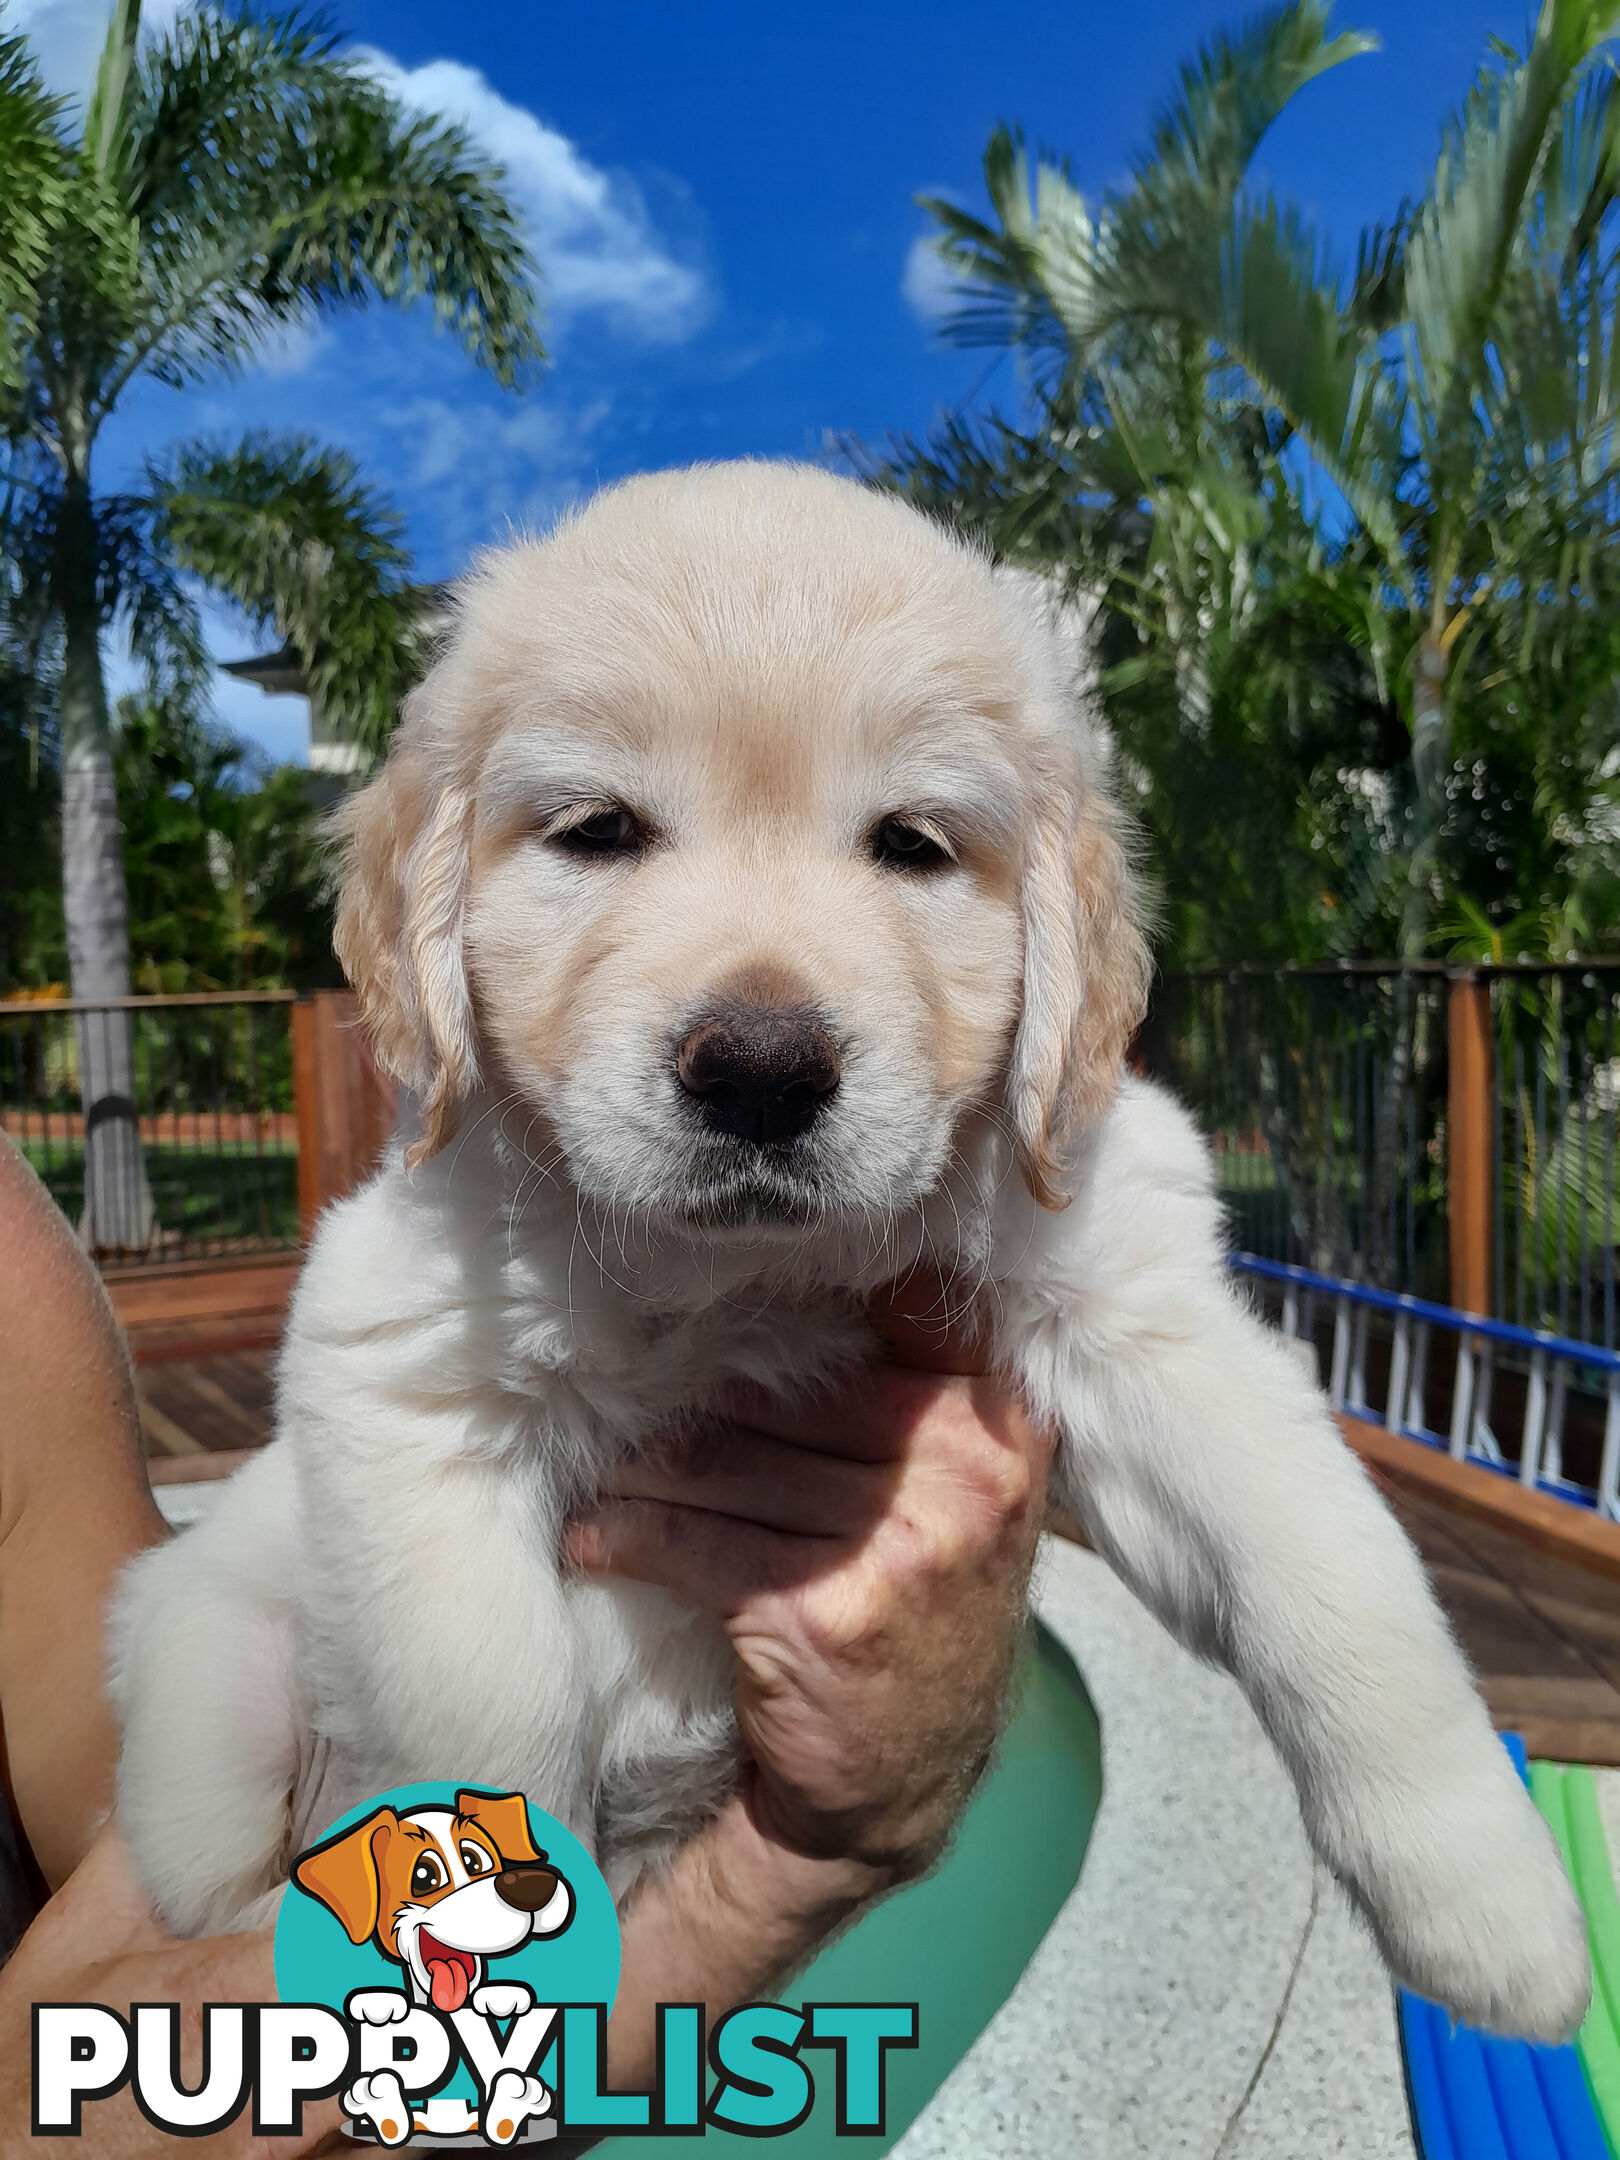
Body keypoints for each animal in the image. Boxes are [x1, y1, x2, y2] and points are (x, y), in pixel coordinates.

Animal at [114, 460, 1589, 2039]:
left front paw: (1491, 1907)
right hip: (206, 1678)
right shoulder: (405, 1375)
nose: (761, 1072)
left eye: (913, 845)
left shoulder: (1136, 1317)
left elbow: (1332, 1572)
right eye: (598, 831)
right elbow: (486, 1709)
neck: (747, 1275)